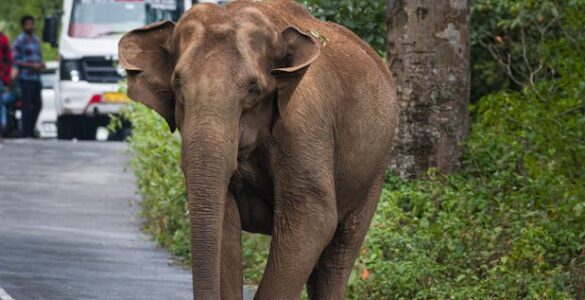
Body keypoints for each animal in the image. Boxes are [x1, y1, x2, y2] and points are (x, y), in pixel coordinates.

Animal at [120, 0, 396, 300]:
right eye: (177, 84)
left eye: (253, 89)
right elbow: (225, 223)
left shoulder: (305, 126)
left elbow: (313, 217)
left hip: (376, 168)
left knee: (339, 252)